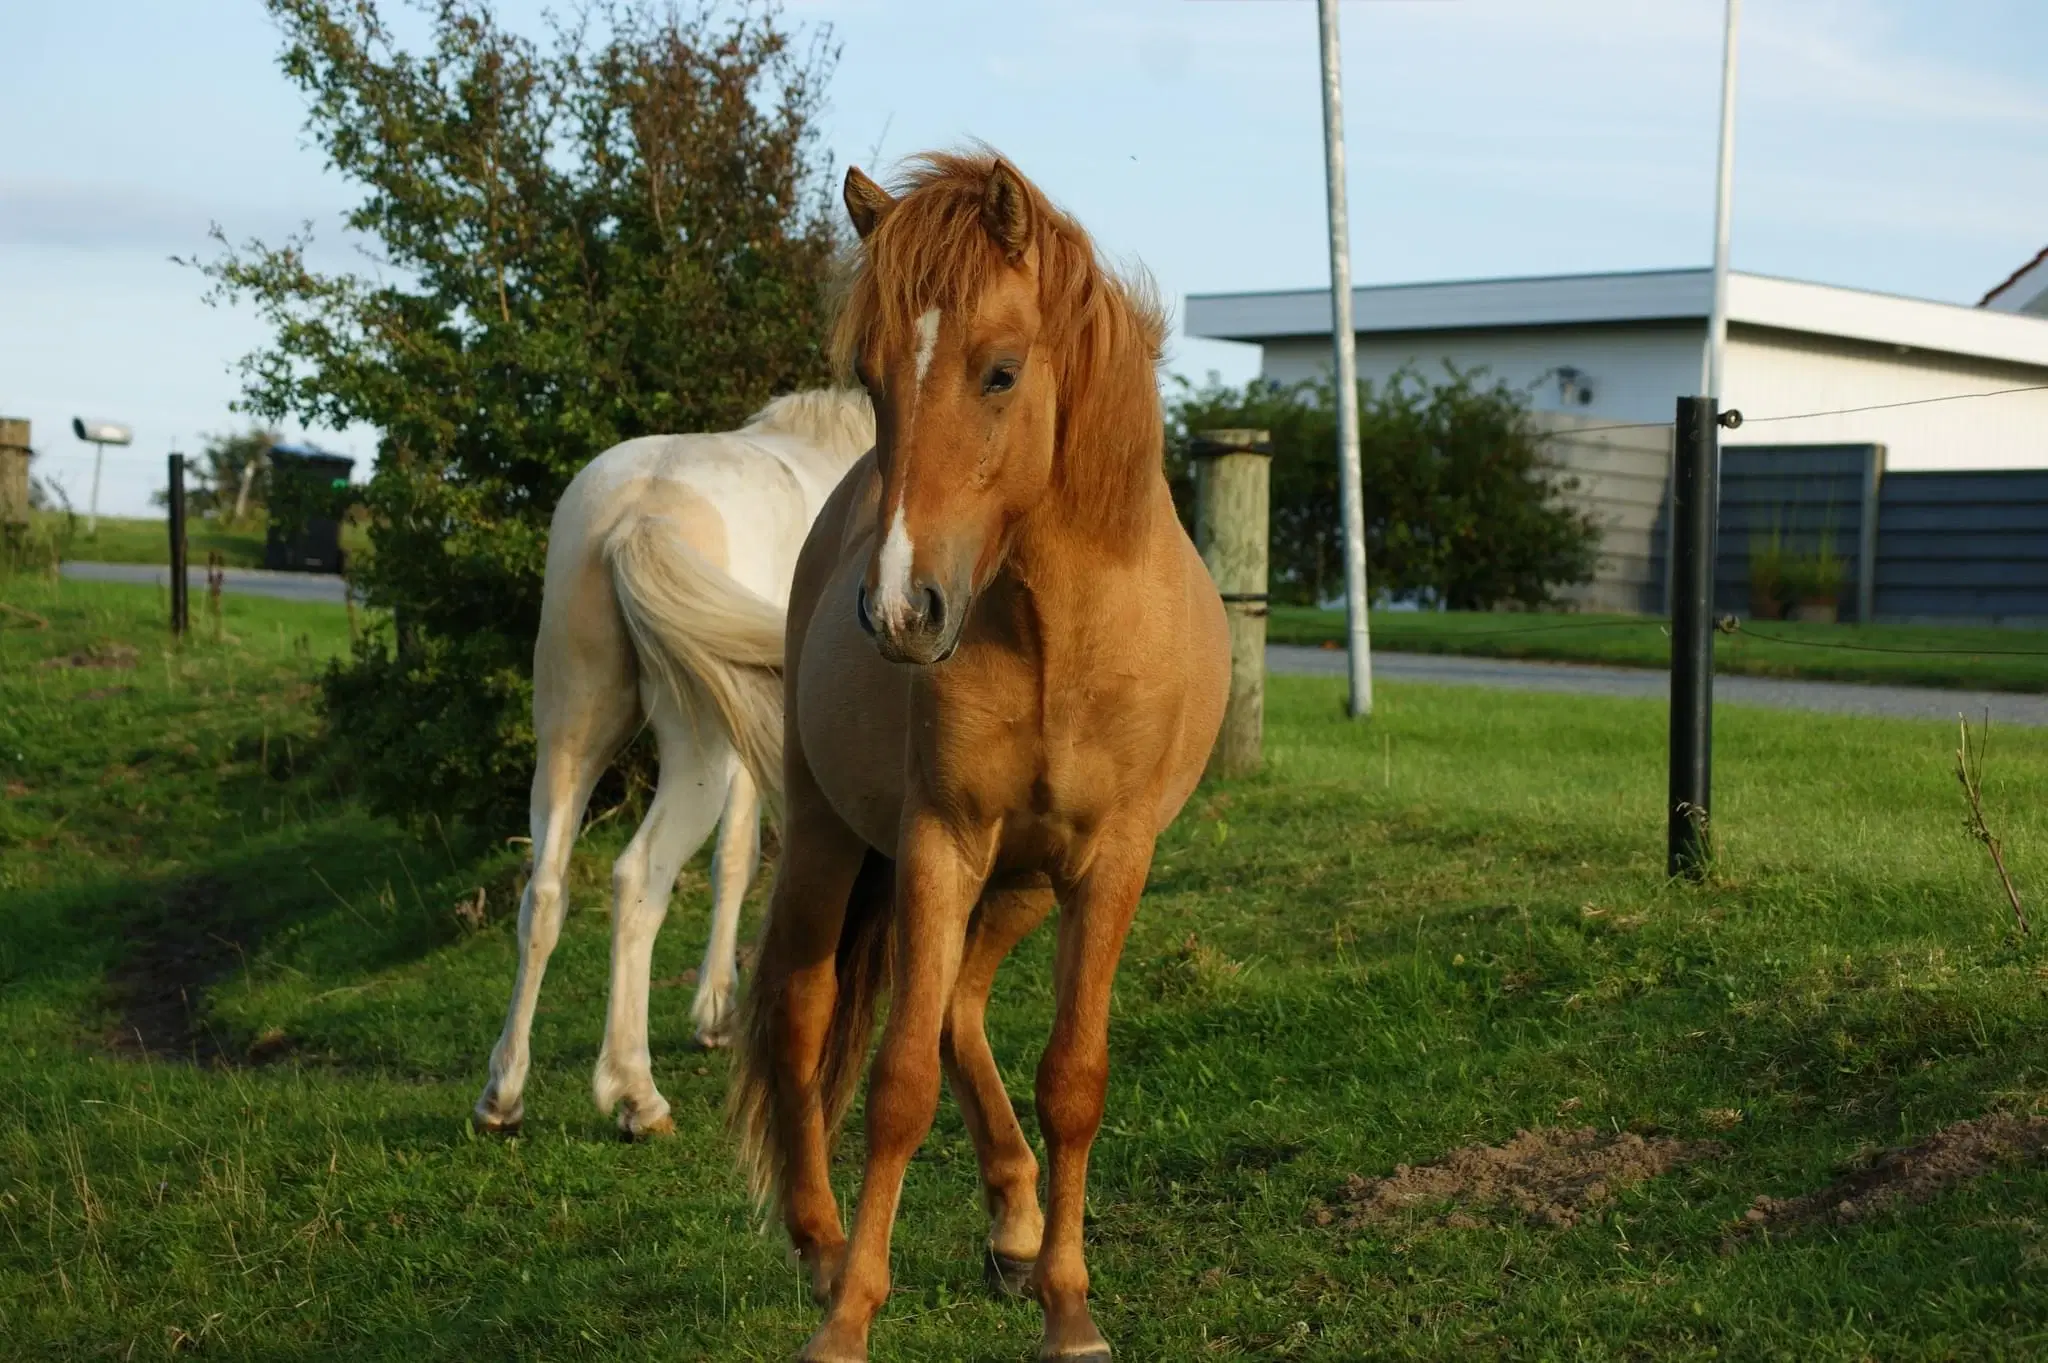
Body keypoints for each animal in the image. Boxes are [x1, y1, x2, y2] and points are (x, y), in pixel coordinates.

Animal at [475, 390, 876, 1137]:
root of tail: (640, 512)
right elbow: (752, 859)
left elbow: (736, 858)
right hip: (697, 760)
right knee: (639, 878)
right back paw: (637, 1094)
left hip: (569, 738)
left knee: (544, 890)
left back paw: (503, 1095)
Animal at [729, 151, 1220, 1358]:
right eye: (871, 378)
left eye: (1000, 373)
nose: (903, 609)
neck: (1058, 634)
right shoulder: (939, 844)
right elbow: (898, 1082)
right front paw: (850, 1315)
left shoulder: (1111, 862)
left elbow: (1072, 1078)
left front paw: (1069, 1306)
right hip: (831, 840)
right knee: (806, 1015)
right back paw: (821, 1246)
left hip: (1024, 882)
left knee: (961, 1009)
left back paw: (1014, 1224)